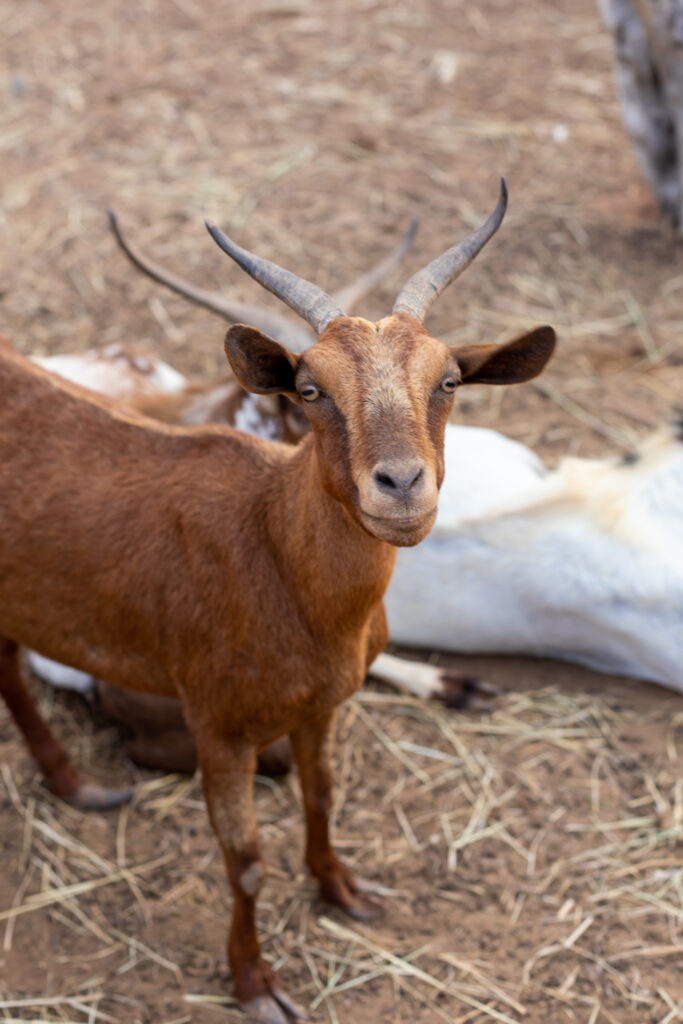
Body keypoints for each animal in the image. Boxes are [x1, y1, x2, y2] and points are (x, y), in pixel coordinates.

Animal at [0, 184, 557, 1024]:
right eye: (310, 388)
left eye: (448, 381)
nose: (401, 485)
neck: (271, 550)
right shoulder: (217, 727)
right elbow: (246, 860)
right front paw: (255, 984)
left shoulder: (323, 704)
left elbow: (321, 796)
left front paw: (344, 891)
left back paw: (75, 785)